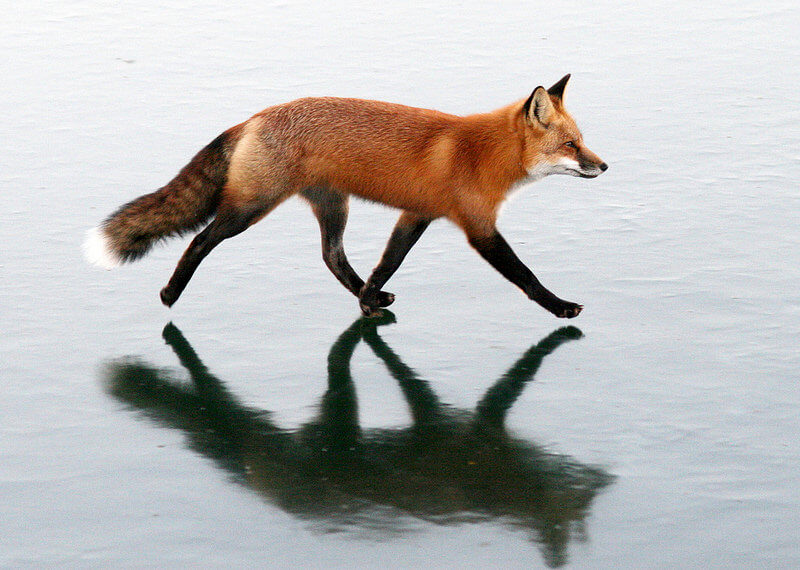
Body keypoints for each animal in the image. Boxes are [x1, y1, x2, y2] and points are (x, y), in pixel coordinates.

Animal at [84, 73, 608, 318]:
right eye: (570, 145)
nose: (604, 166)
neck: (481, 154)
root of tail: (255, 116)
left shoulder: (416, 214)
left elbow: (386, 263)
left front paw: (369, 298)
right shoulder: (478, 226)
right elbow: (526, 276)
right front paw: (560, 307)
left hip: (333, 206)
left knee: (332, 256)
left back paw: (366, 297)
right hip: (249, 209)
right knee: (199, 241)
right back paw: (170, 293)